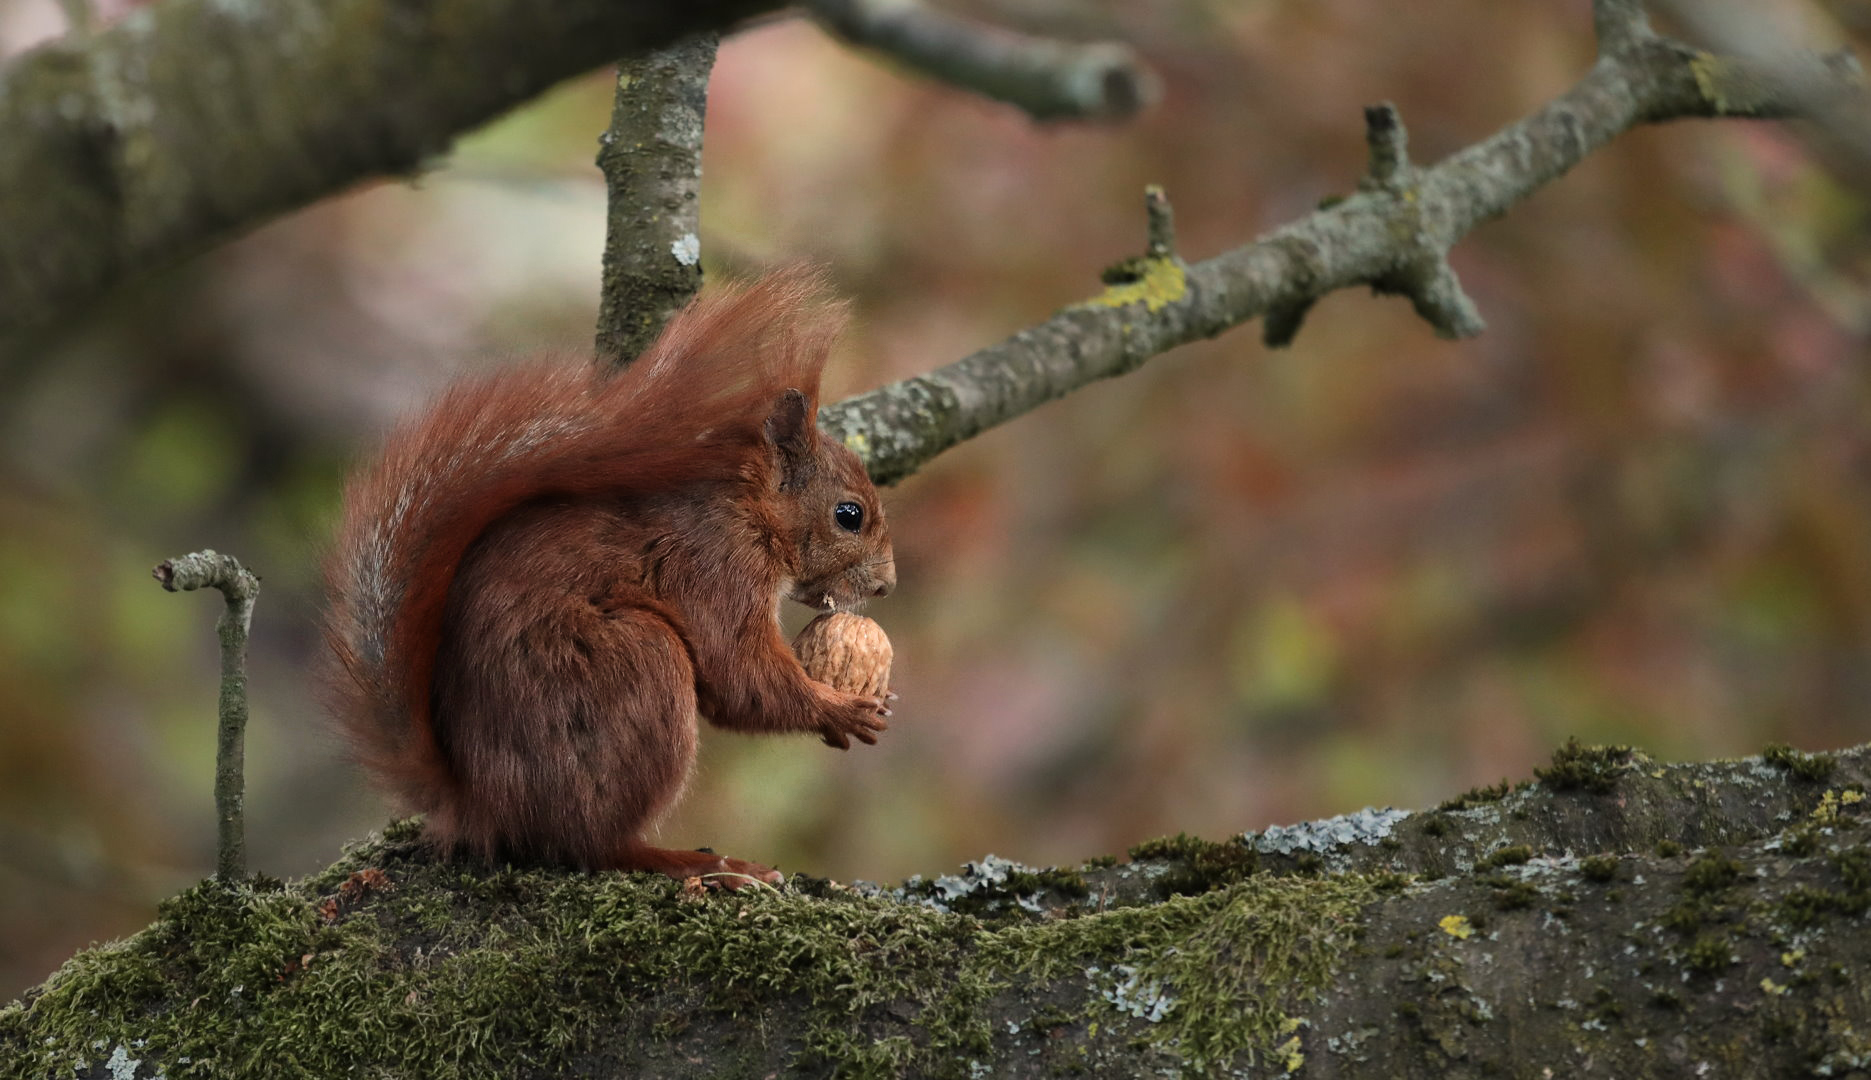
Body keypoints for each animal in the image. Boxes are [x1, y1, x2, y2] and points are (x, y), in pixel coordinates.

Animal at [323, 269, 898, 883]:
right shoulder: (716, 567)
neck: (750, 511)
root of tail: (481, 807)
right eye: (849, 514)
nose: (886, 585)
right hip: (633, 665)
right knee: (592, 845)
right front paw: (838, 708)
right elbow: (741, 677)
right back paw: (696, 862)